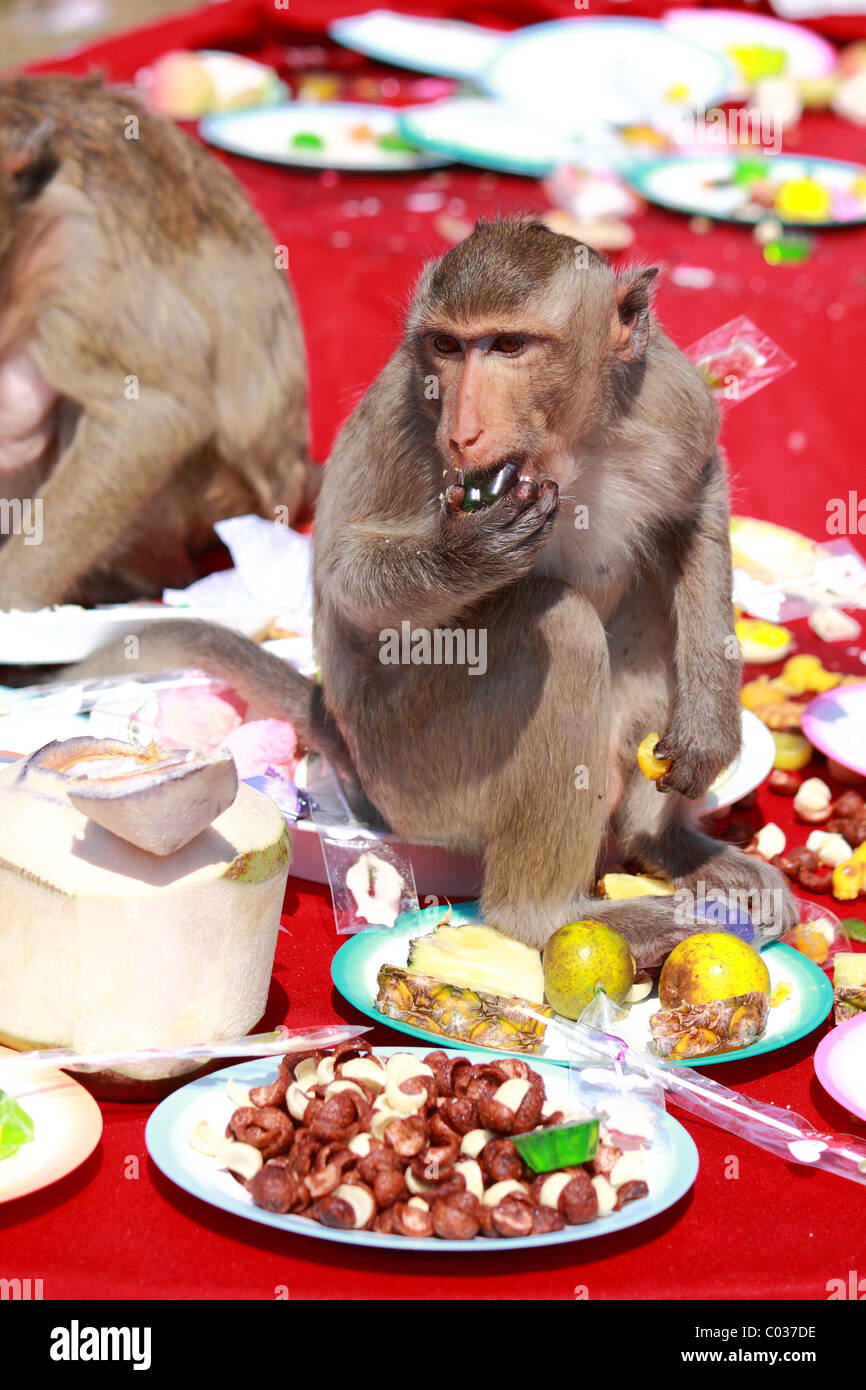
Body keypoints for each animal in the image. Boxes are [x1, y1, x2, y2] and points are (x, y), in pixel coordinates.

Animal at [74, 222, 800, 973]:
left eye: (508, 345)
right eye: (448, 347)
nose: (463, 429)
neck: (567, 445)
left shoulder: (672, 398)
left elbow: (699, 493)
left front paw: (711, 724)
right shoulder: (403, 411)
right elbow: (346, 577)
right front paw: (467, 552)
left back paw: (665, 845)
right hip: (422, 777)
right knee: (559, 625)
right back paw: (549, 917)